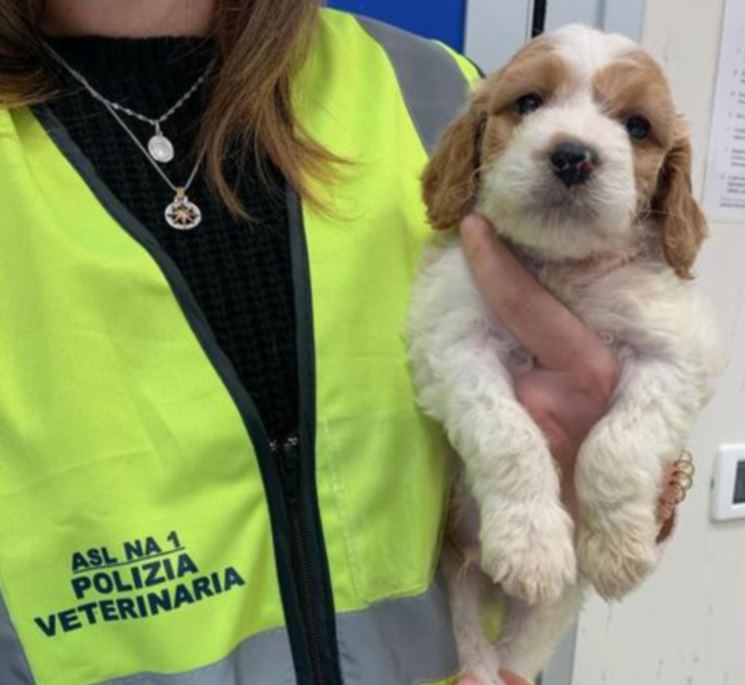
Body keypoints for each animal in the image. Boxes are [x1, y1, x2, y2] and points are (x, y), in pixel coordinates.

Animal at [406, 24, 720, 680]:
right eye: (529, 103)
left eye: (636, 126)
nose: (573, 155)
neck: (563, 268)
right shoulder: (453, 340)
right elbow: (510, 435)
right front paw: (531, 543)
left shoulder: (677, 353)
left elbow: (616, 444)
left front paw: (620, 548)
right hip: (460, 583)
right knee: (478, 650)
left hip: (553, 611)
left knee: (519, 653)